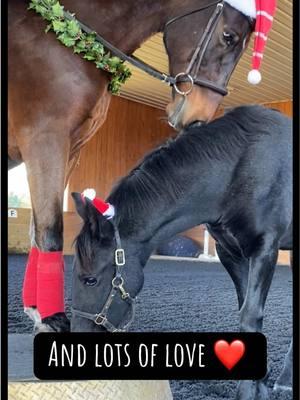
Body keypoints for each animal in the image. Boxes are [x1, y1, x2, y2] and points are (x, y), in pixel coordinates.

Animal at [8, 0, 253, 332]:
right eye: (229, 36)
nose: (198, 118)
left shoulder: (71, 147)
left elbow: (37, 228)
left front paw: (36, 309)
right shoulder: (45, 138)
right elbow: (50, 230)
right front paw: (51, 318)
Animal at [71, 104, 292, 398]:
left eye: (90, 280)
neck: (238, 168)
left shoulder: (264, 248)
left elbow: (250, 315)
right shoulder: (229, 253)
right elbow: (246, 310)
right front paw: (262, 387)